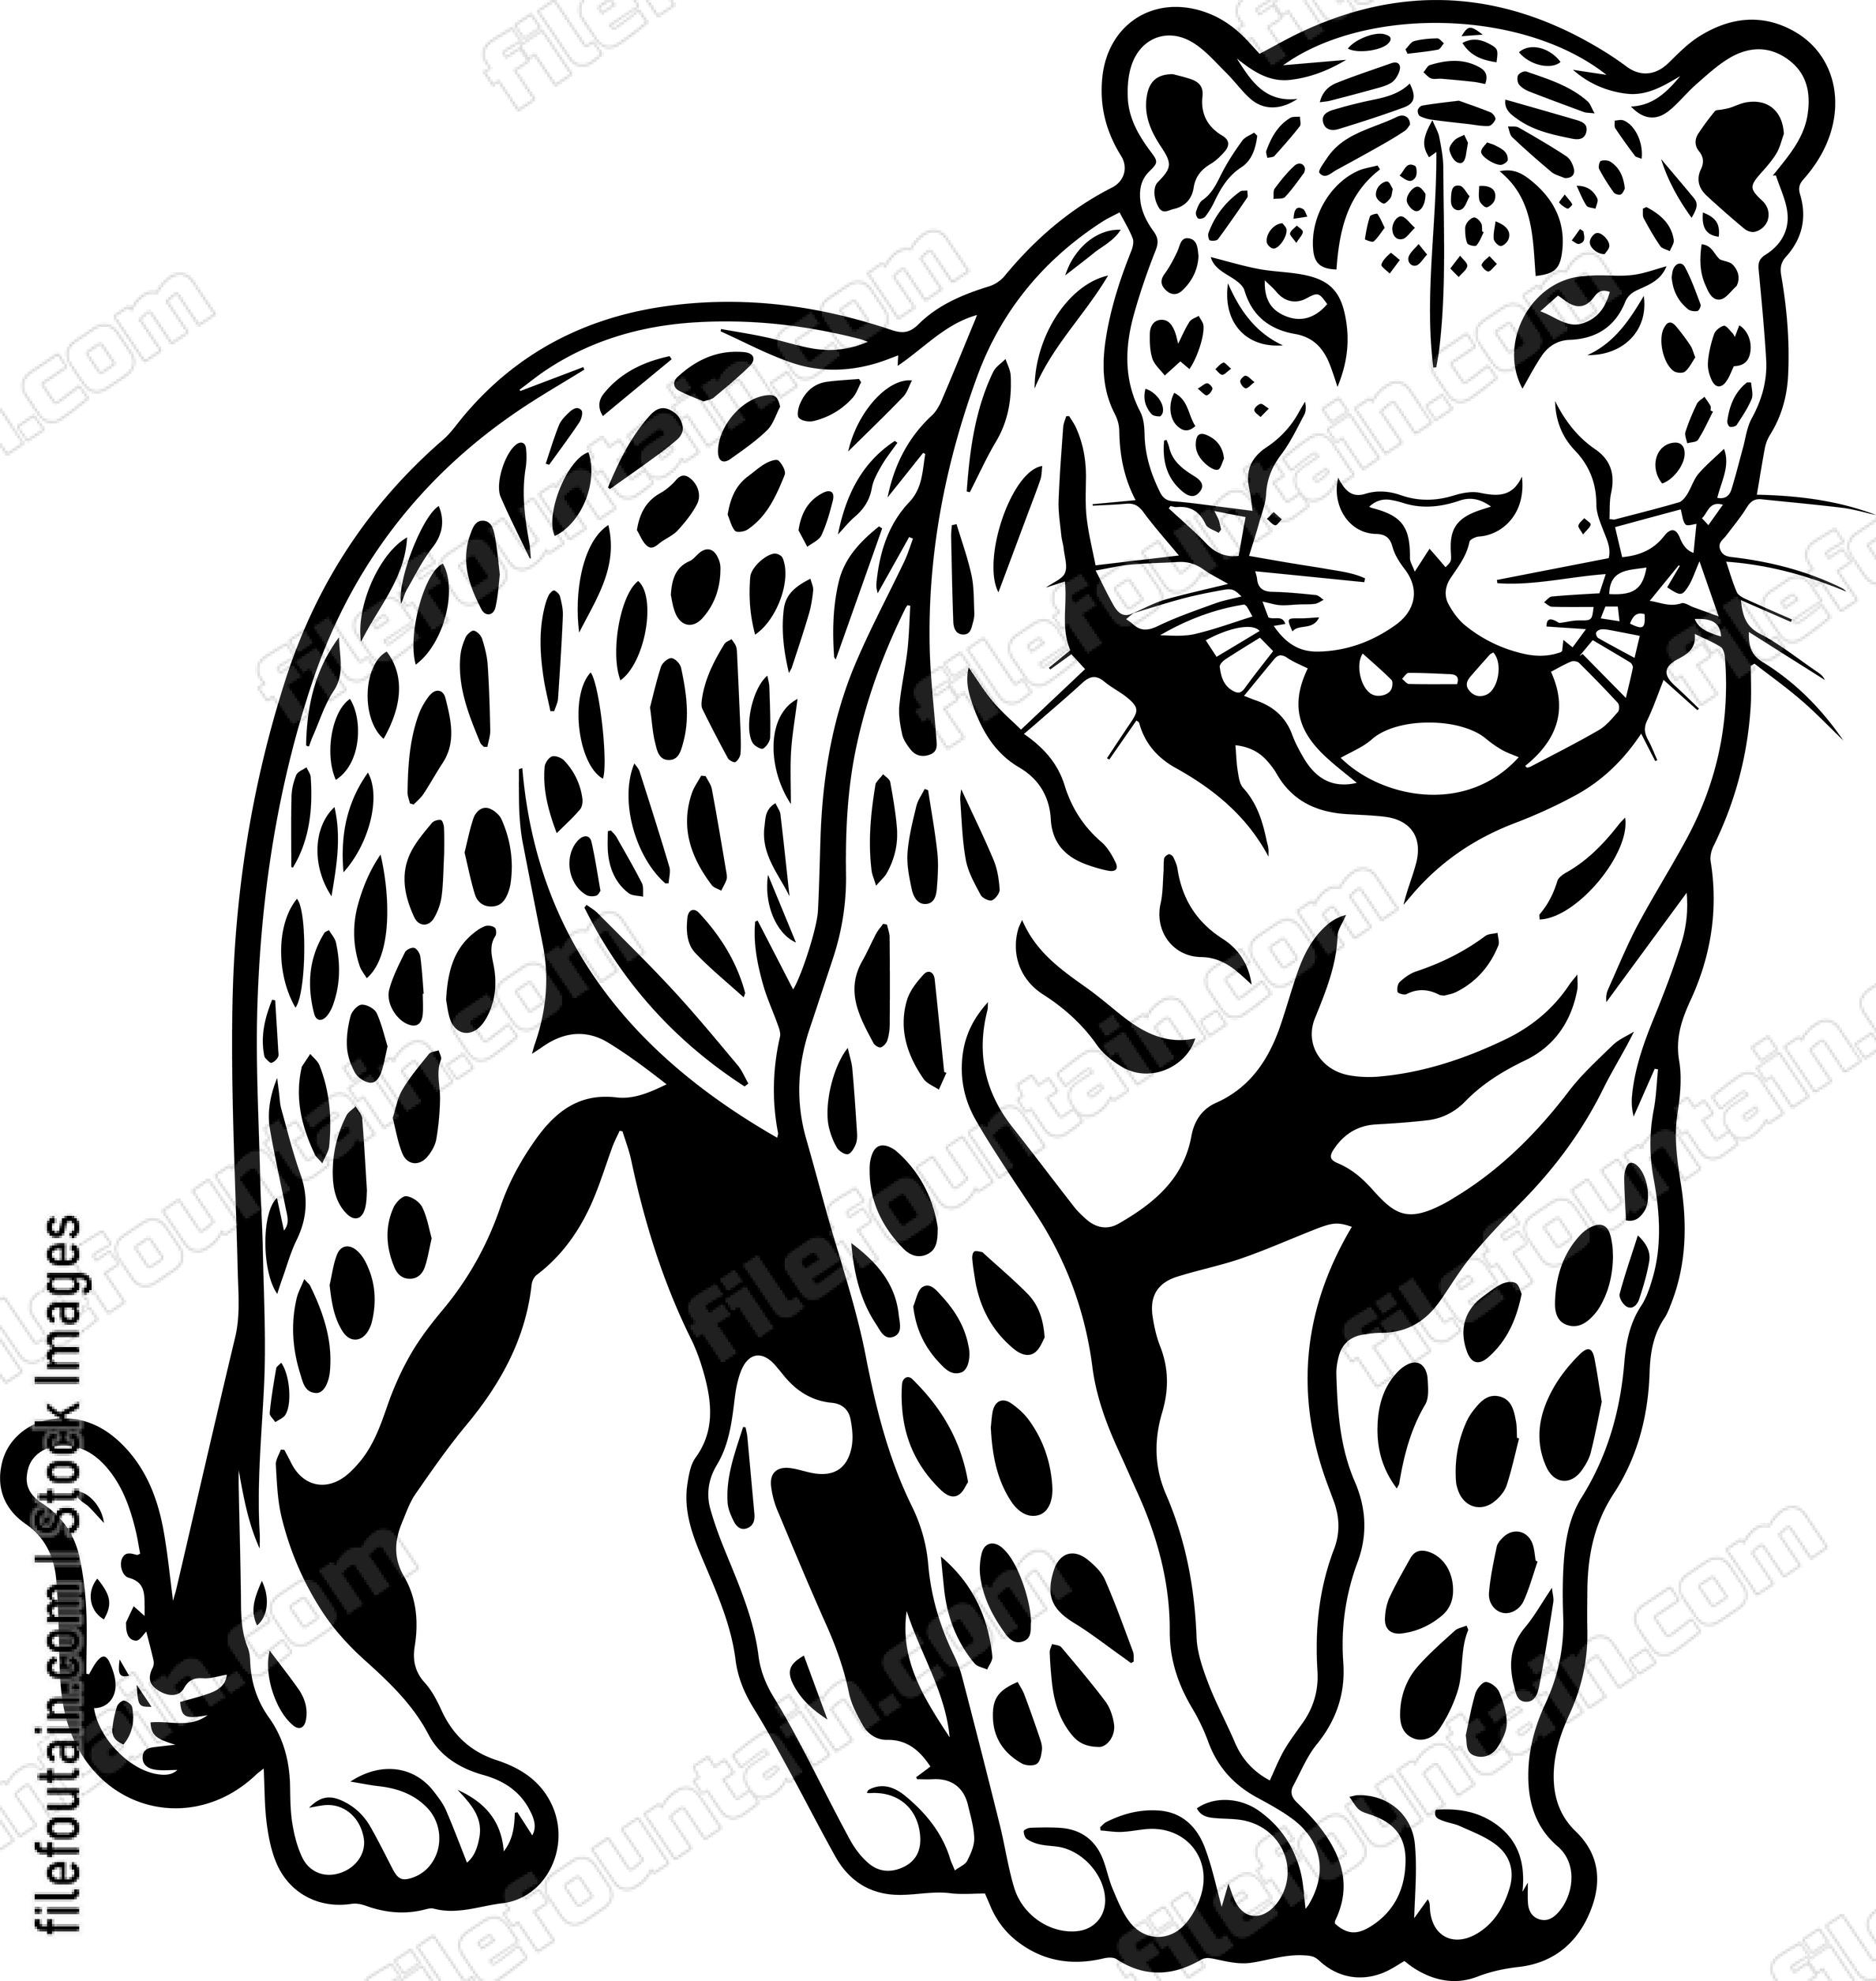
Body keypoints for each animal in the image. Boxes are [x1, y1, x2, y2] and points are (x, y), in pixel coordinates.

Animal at [3, 6, 1833, 1974]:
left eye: (1585, 304)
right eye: (1288, 298)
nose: (1430, 514)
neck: (1361, 826)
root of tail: (462, 460)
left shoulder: (1533, 1173)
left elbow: (1471, 1522)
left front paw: (1425, 1833)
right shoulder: (945, 1132)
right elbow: (1048, 1504)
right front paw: (1146, 1831)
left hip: (756, 1184)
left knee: (762, 1460)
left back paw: (902, 1795)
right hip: (403, 1160)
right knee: (308, 1455)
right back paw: (392, 1792)